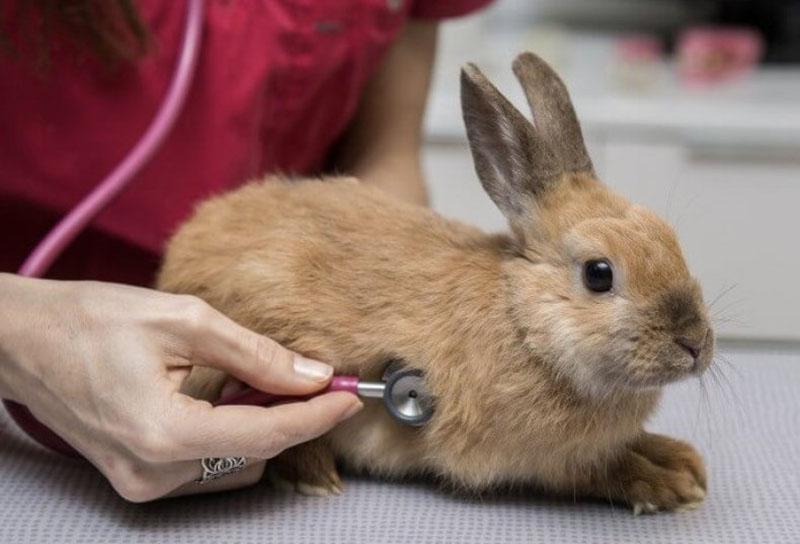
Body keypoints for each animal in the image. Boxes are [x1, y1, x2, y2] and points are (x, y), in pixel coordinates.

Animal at [156, 52, 712, 516]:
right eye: (599, 274)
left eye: (669, 237)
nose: (695, 345)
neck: (524, 323)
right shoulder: (548, 457)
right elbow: (601, 470)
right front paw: (668, 485)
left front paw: (681, 462)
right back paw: (314, 477)